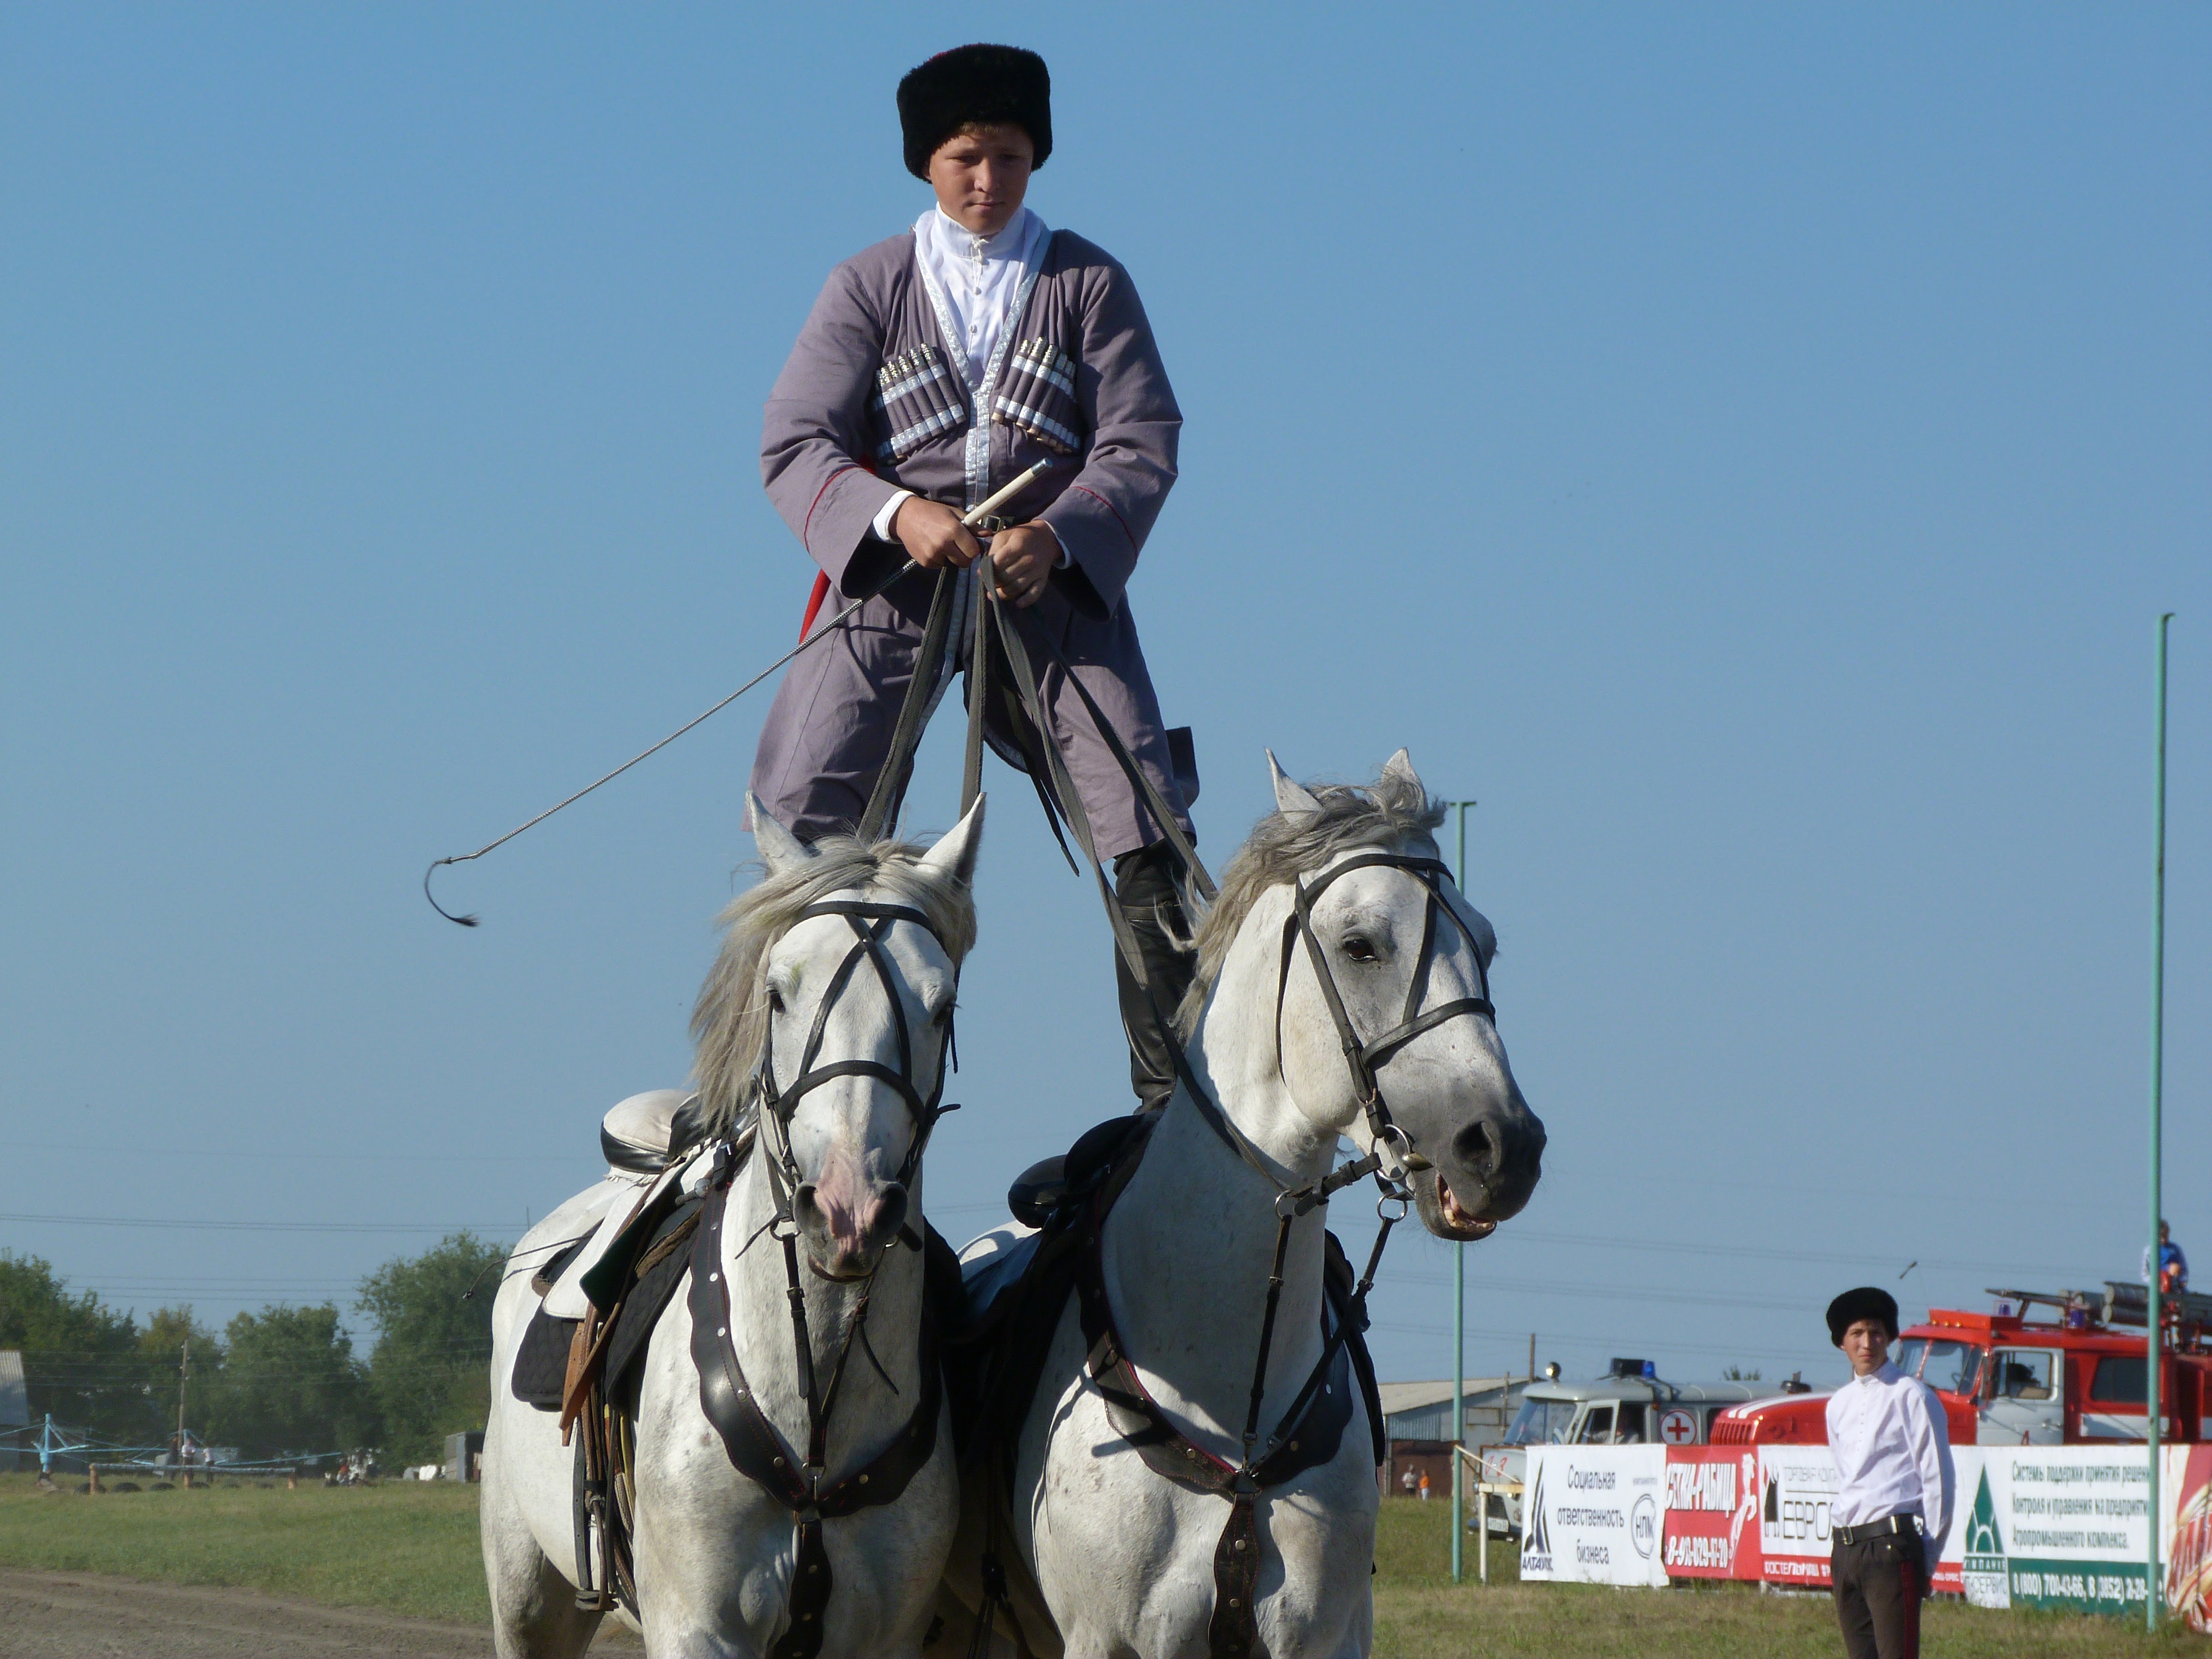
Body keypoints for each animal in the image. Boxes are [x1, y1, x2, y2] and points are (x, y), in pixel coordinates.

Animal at [481, 795, 985, 1658]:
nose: (847, 1211)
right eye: (777, 993)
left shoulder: (884, 1636)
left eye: (942, 1005)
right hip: (527, 1601)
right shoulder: (698, 1630)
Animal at [944, 751, 1545, 1659]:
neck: (1234, 1391)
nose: (1504, 1148)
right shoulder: (1108, 1641)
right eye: (1360, 944)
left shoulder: (1323, 1638)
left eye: (1485, 943)